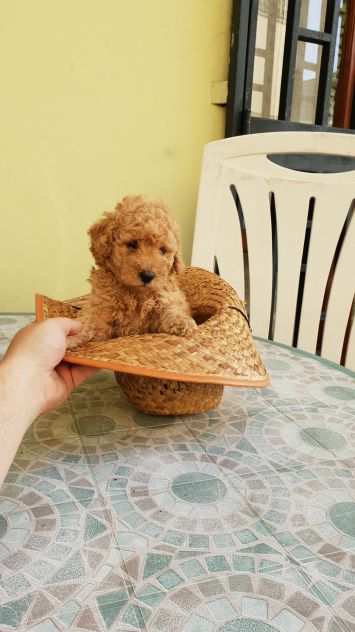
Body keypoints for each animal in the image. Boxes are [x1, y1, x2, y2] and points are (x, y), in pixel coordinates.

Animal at [65, 195, 196, 348]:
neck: (136, 294)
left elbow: (170, 309)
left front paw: (183, 322)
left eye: (163, 250)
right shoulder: (103, 305)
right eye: (132, 244)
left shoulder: (165, 298)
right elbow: (92, 322)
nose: (147, 276)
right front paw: (75, 334)